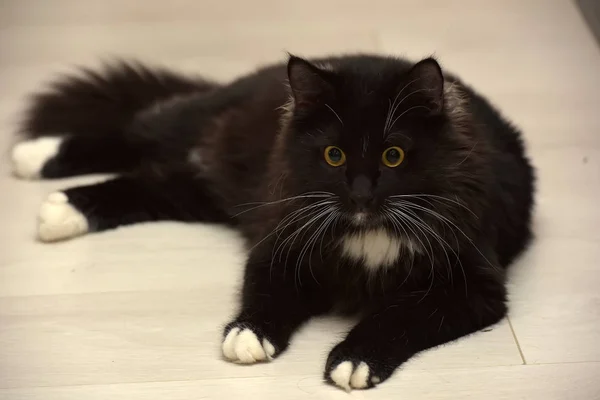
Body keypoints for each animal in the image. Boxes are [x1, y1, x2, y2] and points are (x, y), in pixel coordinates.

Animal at [9, 53, 536, 390]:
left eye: (394, 155)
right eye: (333, 154)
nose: (361, 191)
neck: (367, 231)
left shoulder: (472, 287)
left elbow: (398, 315)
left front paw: (354, 359)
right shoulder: (281, 241)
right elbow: (266, 292)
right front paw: (249, 335)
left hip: (196, 192)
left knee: (145, 180)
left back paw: (61, 208)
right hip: (192, 125)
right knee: (131, 132)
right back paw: (32, 157)